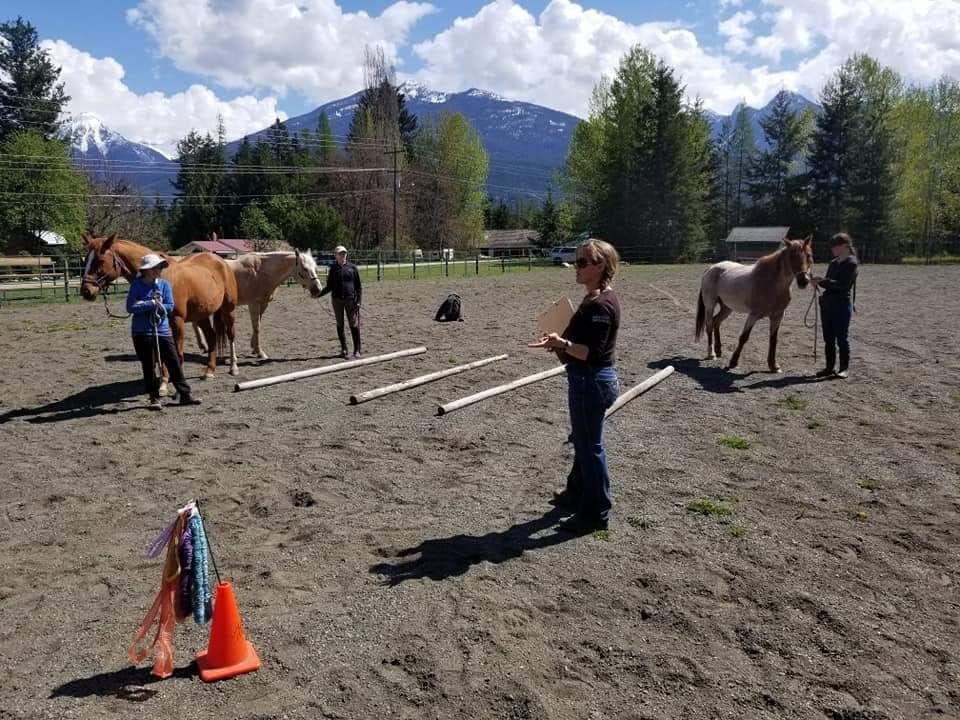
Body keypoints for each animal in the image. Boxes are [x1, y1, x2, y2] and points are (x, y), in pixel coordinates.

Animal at [80, 236, 242, 382]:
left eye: (100, 260)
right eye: (86, 260)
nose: (86, 291)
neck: (160, 277)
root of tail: (220, 261)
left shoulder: (177, 321)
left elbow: (177, 353)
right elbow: (160, 354)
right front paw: (164, 379)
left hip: (229, 310)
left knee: (231, 334)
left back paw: (233, 367)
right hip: (202, 314)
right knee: (212, 337)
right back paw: (209, 371)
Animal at [193, 250, 324, 360]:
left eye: (315, 268)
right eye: (305, 268)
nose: (317, 290)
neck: (261, 272)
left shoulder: (263, 304)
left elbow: (258, 325)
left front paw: (254, 348)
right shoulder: (254, 304)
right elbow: (257, 327)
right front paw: (260, 352)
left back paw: (203, 346)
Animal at [696, 236, 808, 372]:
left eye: (808, 255)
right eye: (791, 255)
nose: (804, 281)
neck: (772, 283)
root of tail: (711, 267)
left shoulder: (778, 316)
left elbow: (773, 339)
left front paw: (773, 365)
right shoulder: (753, 315)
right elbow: (744, 337)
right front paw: (733, 362)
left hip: (727, 307)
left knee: (716, 321)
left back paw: (718, 351)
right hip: (710, 305)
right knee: (709, 324)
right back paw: (711, 354)